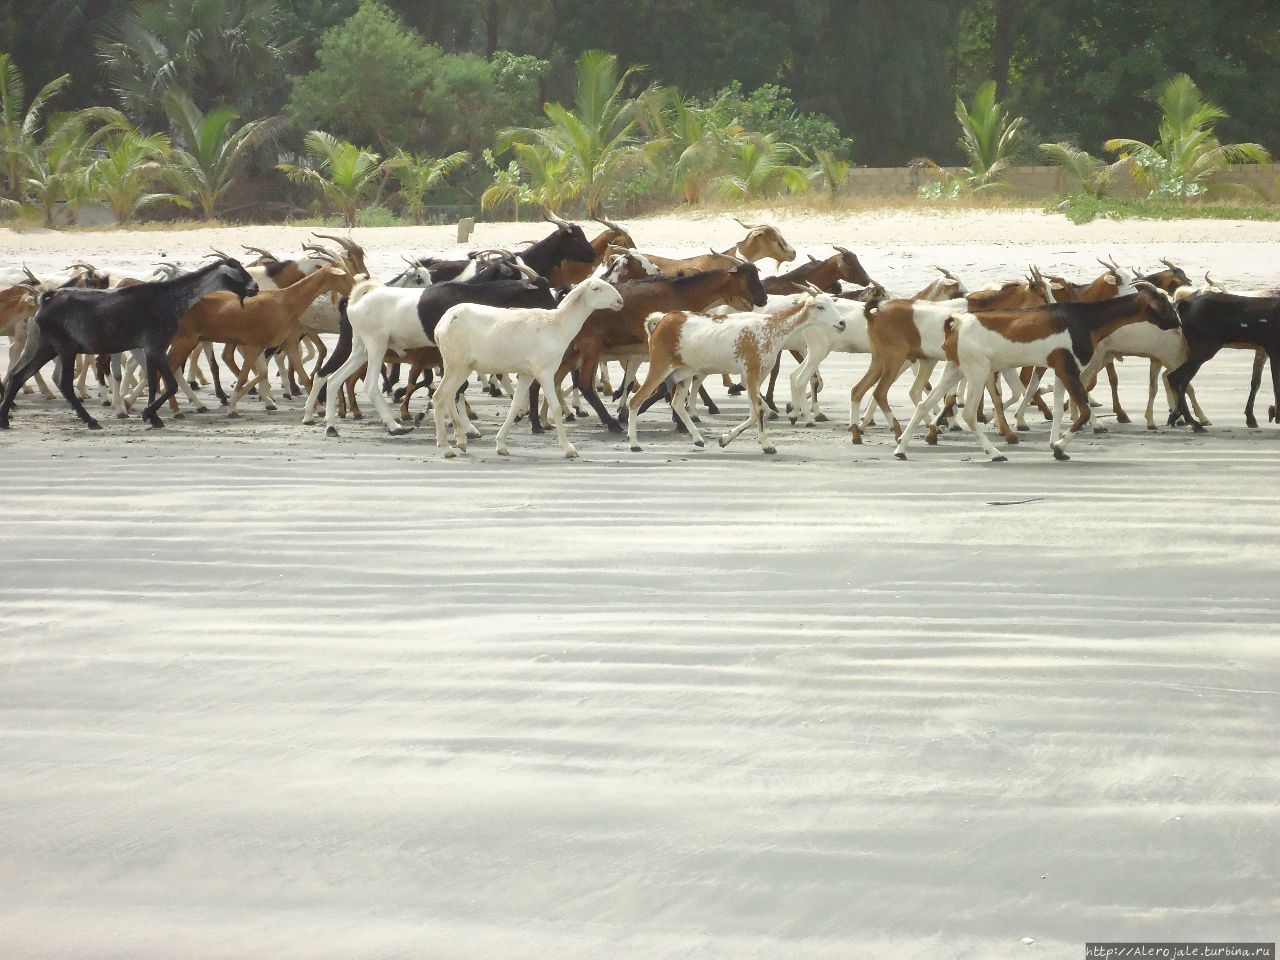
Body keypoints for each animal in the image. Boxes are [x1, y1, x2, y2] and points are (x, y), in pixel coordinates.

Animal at [0, 259, 259, 432]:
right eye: (239, 270)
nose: (256, 287)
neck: (169, 298)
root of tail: (45, 300)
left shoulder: (148, 348)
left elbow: (154, 381)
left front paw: (154, 417)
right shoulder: (155, 345)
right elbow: (171, 384)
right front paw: (147, 413)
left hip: (43, 345)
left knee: (18, 375)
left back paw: (5, 420)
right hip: (65, 348)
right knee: (63, 384)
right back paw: (90, 420)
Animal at [435, 276, 624, 460]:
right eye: (595, 288)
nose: (620, 301)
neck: (557, 325)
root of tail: (443, 322)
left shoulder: (527, 374)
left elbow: (515, 404)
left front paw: (501, 444)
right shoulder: (545, 372)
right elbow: (555, 408)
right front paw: (568, 448)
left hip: (464, 367)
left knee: (450, 396)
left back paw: (461, 440)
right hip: (455, 364)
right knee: (439, 397)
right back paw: (446, 447)